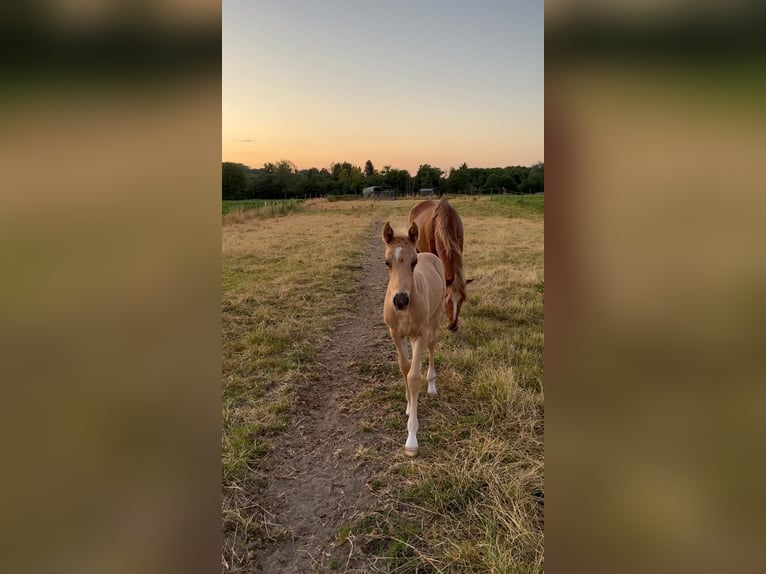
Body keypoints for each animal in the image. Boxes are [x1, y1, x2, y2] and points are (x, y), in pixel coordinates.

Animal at [382, 222, 448, 460]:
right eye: (387, 262)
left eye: (414, 262)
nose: (401, 300)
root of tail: (431, 254)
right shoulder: (395, 333)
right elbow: (404, 367)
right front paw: (410, 405)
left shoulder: (419, 334)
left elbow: (414, 377)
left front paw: (411, 440)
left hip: (434, 320)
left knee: (432, 346)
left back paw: (432, 384)